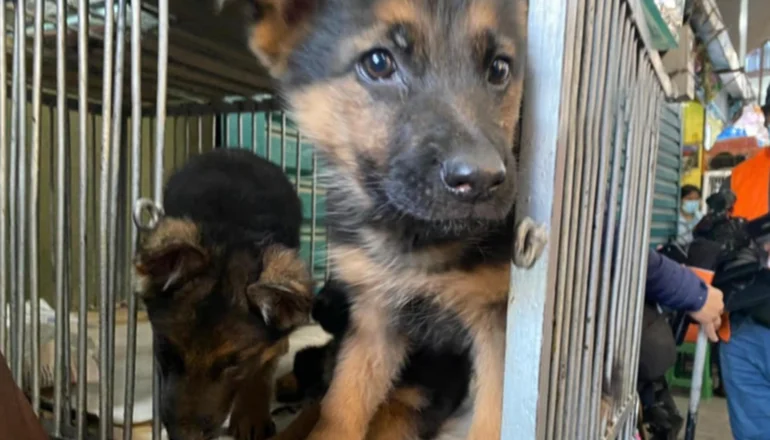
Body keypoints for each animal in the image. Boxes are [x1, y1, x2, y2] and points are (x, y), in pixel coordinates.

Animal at [134, 149, 312, 440]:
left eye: (234, 364)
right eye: (168, 351)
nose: (184, 438)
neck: (233, 231)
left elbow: (265, 358)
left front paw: (251, 412)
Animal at [213, 1, 544, 438]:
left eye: (500, 68)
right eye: (377, 63)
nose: (482, 180)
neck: (419, 239)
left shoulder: (495, 329)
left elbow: (492, 418)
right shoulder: (374, 320)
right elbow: (341, 406)